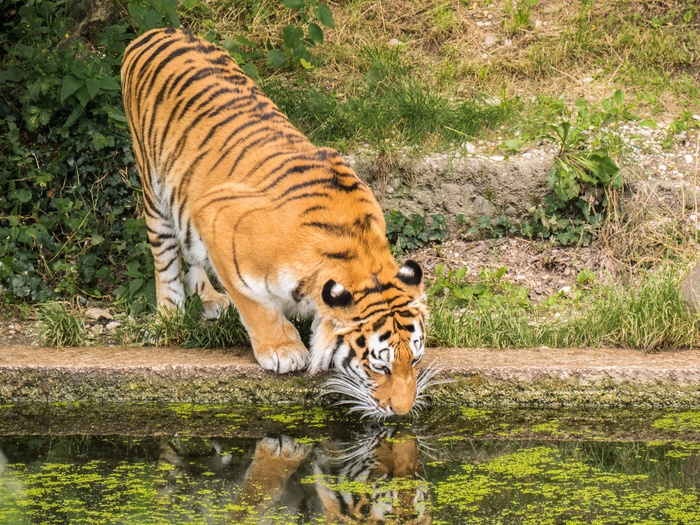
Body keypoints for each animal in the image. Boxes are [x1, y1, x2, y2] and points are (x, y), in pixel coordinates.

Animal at [123, 28, 434, 416]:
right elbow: (254, 304)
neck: (356, 251)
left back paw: (211, 299)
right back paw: (171, 314)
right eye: (380, 366)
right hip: (155, 188)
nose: (404, 411)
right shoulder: (215, 216)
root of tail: (159, 31)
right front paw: (283, 350)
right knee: (165, 260)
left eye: (415, 361)